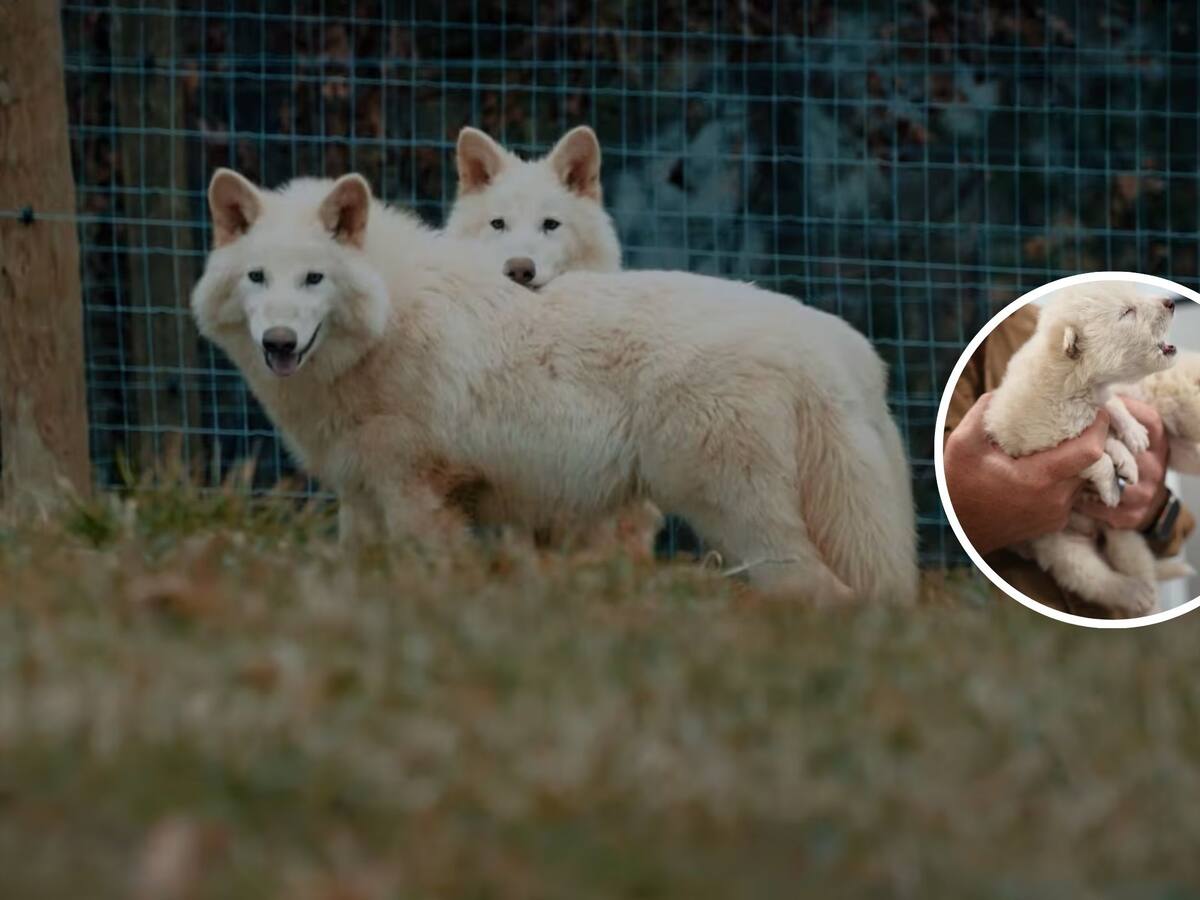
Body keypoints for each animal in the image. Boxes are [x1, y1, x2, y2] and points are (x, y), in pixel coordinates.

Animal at [191, 169, 918, 605]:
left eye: (314, 279)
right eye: (258, 278)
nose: (279, 342)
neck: (389, 321)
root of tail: (833, 345)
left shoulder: (419, 498)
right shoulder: (363, 499)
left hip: (740, 523)